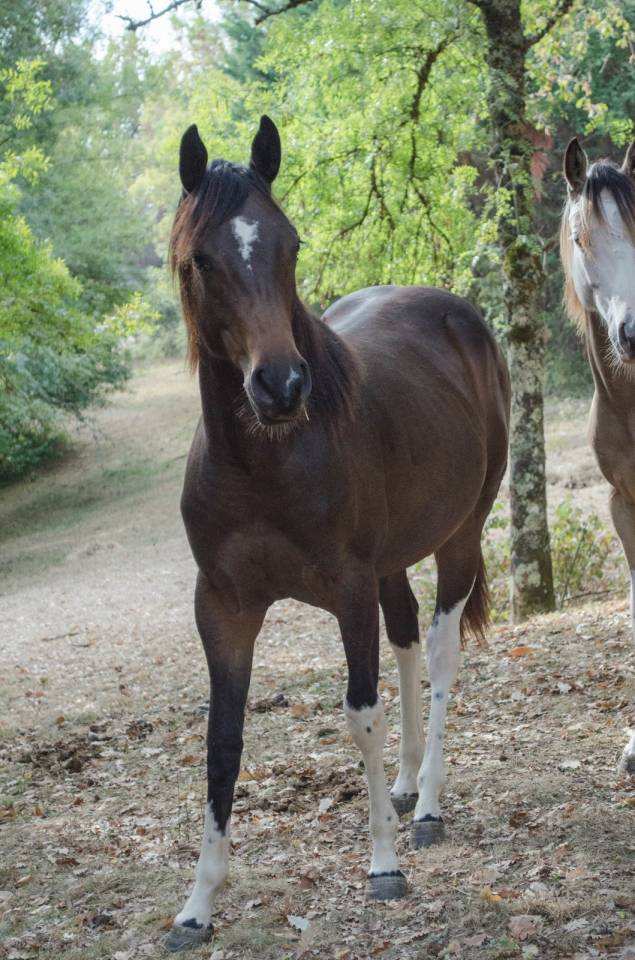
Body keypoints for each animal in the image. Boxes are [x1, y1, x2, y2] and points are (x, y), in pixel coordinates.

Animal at [165, 115, 511, 952]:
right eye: (201, 259)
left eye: (288, 244)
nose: (281, 384)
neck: (262, 460)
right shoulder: (222, 610)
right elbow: (222, 745)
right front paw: (198, 902)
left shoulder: (347, 592)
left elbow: (359, 713)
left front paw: (382, 864)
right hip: (393, 563)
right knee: (409, 639)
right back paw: (408, 780)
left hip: (459, 539)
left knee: (440, 655)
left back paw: (426, 805)